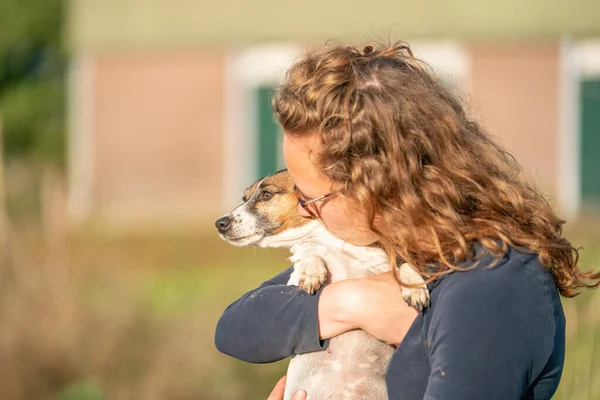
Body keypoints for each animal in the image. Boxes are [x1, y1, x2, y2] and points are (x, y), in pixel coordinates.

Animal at [218, 170, 428, 400]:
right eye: (244, 198)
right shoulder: (296, 275)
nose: (220, 223)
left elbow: (405, 264)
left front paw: (415, 287)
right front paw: (313, 272)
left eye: (266, 195)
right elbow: (310, 252)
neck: (333, 241)